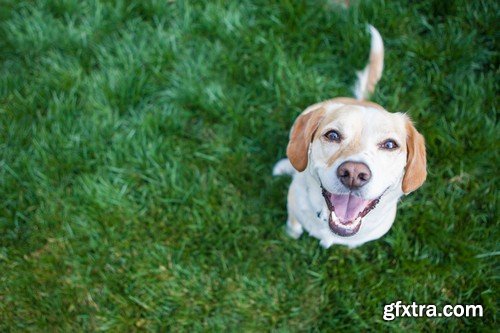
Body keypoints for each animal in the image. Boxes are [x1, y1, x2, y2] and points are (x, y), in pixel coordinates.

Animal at [274, 26, 426, 248]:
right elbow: (293, 225)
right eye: (333, 135)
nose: (354, 173)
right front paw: (290, 234)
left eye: (390, 144)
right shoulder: (293, 207)